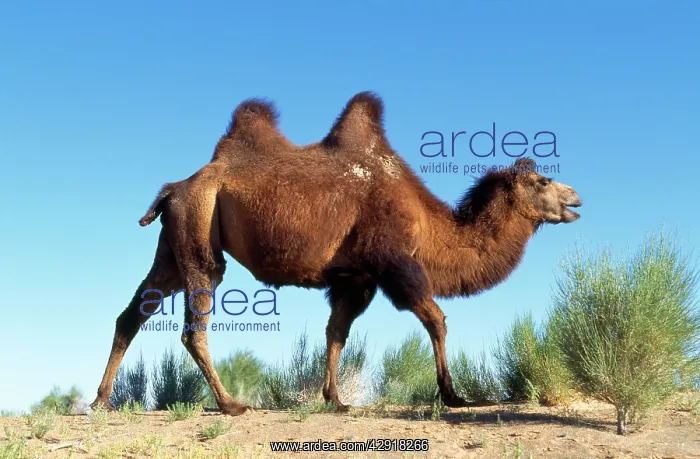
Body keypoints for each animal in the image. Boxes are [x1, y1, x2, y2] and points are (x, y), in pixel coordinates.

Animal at [91, 91, 582, 415]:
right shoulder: (395, 264)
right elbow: (436, 320)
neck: (429, 225)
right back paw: (230, 404)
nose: (575, 197)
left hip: (174, 244)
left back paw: (102, 400)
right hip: (199, 234)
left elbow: (336, 333)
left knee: (133, 314)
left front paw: (336, 400)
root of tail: (175, 188)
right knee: (193, 325)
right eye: (541, 181)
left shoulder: (355, 278)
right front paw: (453, 396)